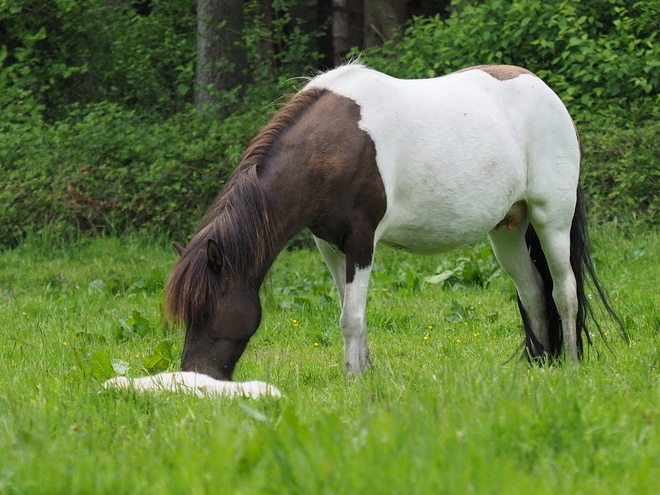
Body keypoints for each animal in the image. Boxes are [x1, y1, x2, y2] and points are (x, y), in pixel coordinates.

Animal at [165, 62, 624, 380]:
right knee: (532, 292)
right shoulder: (329, 246)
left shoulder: (361, 242)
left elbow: (351, 318)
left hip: (551, 219)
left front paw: (354, 381)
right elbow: (349, 313)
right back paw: (540, 365)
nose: (193, 378)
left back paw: (570, 367)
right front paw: (364, 373)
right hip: (507, 232)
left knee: (564, 291)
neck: (332, 148)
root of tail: (545, 91)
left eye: (206, 310)